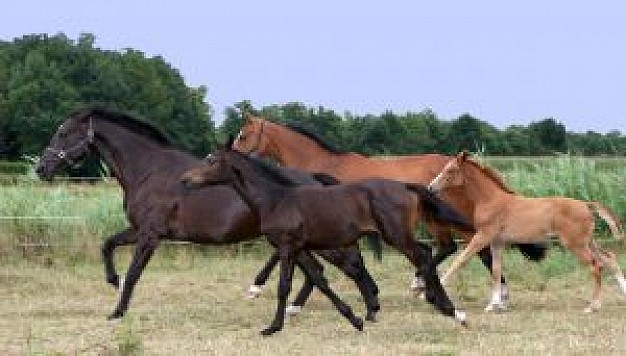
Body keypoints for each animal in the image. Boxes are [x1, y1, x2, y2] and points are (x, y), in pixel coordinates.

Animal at [35, 105, 380, 322]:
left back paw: (369, 308)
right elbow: (107, 245)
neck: (148, 170)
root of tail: (316, 179)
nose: (41, 169)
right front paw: (113, 281)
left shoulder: (150, 235)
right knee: (320, 271)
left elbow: (134, 272)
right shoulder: (140, 230)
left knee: (350, 265)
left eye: (63, 133)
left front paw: (117, 311)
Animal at [180, 140, 472, 336]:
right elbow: (319, 279)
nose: (185, 180)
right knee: (423, 254)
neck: (276, 199)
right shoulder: (301, 248)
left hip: (396, 235)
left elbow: (284, 286)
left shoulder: (287, 246)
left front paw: (272, 327)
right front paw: (355, 319)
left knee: (423, 256)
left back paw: (452, 310)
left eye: (212, 161)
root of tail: (405, 186)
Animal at [232, 114, 544, 298]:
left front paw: (255, 287)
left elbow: (278, 253)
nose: (230, 159)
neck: (318, 166)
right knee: (461, 248)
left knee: (462, 247)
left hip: (439, 220)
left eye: (243, 135)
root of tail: (456, 165)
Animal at [428, 152, 624, 312]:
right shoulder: (497, 241)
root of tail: (586, 204)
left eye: (451, 170)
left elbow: (460, 261)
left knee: (596, 266)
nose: (430, 187)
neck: (490, 200)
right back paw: (622, 292)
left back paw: (593, 306)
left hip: (575, 244)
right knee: (609, 258)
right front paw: (494, 305)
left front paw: (432, 289)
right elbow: (496, 270)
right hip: (588, 241)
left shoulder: (483, 236)